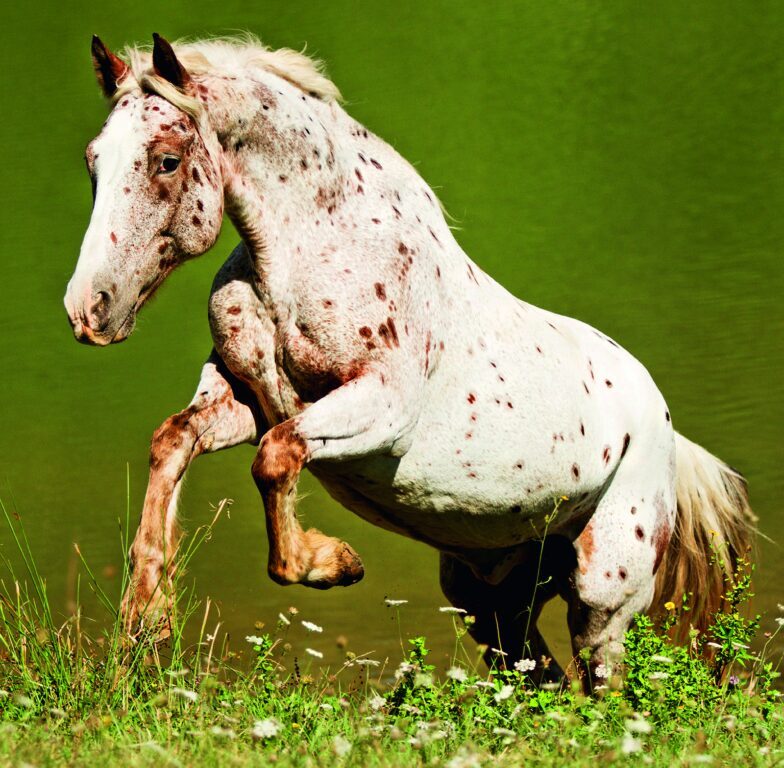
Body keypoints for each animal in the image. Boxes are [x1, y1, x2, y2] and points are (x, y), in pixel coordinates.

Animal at [64, 33, 755, 686]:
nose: (88, 309)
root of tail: (666, 430)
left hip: (602, 594)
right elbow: (173, 441)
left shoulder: (381, 409)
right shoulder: (246, 399)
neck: (300, 258)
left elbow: (276, 462)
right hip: (491, 599)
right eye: (93, 162)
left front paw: (334, 563)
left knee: (600, 691)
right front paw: (146, 616)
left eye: (167, 160)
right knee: (544, 682)